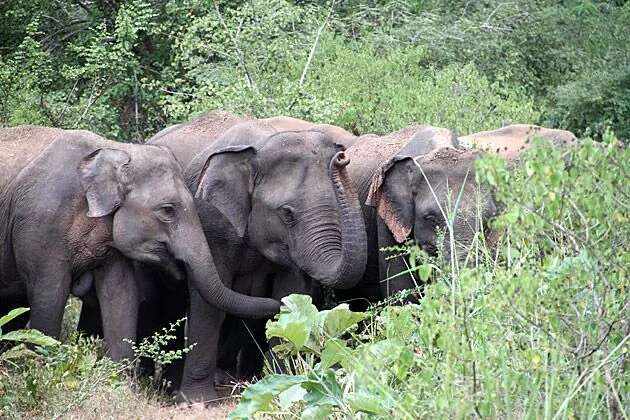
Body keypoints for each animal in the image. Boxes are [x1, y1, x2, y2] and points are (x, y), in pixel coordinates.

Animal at [0, 124, 282, 360]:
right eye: (168, 210)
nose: (278, 304)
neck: (117, 149)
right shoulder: (41, 224)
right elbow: (49, 296)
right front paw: (40, 365)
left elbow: (121, 294)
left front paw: (119, 381)